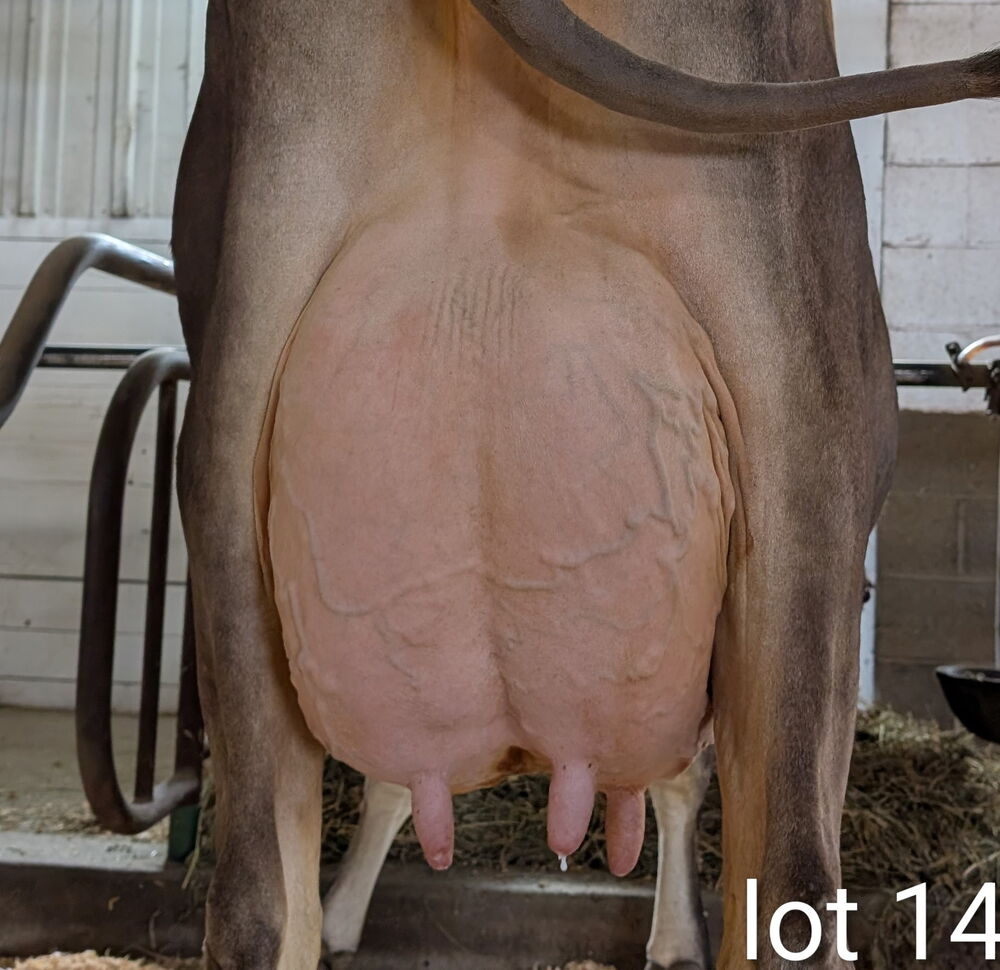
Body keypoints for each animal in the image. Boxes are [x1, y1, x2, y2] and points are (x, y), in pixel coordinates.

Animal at [170, 3, 999, 969]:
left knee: (256, 905)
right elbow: (682, 779)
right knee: (793, 893)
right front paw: (675, 938)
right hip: (816, 464)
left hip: (225, 478)